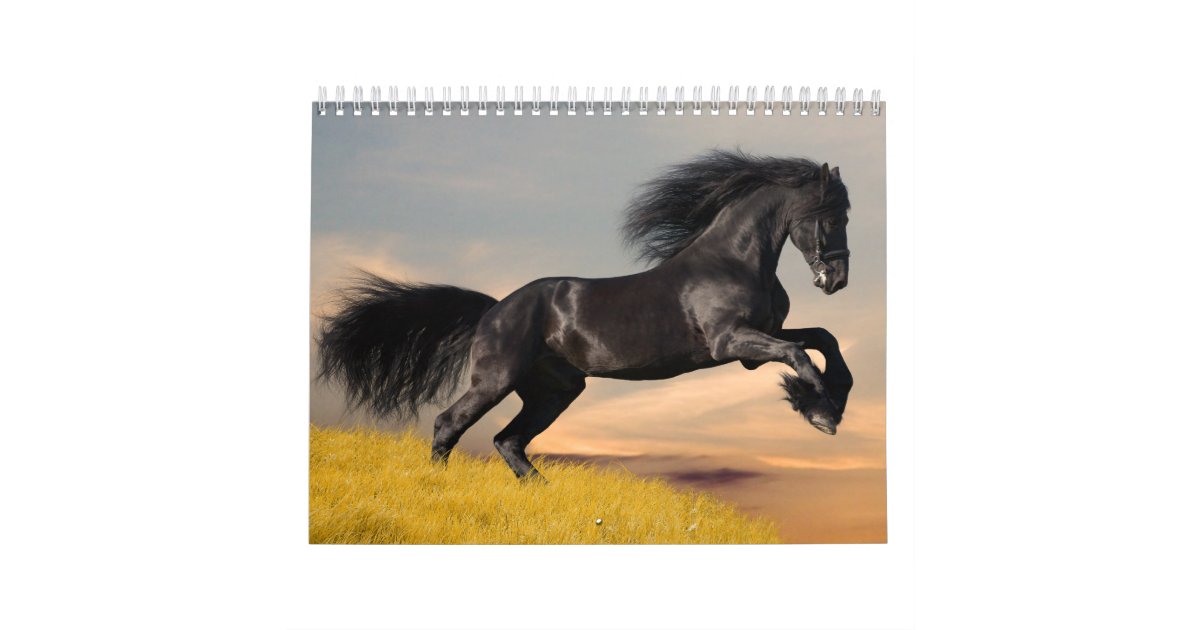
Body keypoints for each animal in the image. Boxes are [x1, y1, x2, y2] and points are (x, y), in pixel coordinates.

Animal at [316, 150, 855, 480]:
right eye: (831, 217)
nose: (837, 280)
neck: (733, 260)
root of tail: (494, 309)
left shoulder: (757, 342)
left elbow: (823, 339)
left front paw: (830, 401)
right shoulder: (732, 343)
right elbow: (799, 354)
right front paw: (820, 412)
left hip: (555, 390)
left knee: (508, 440)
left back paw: (543, 494)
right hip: (496, 379)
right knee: (450, 424)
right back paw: (439, 485)